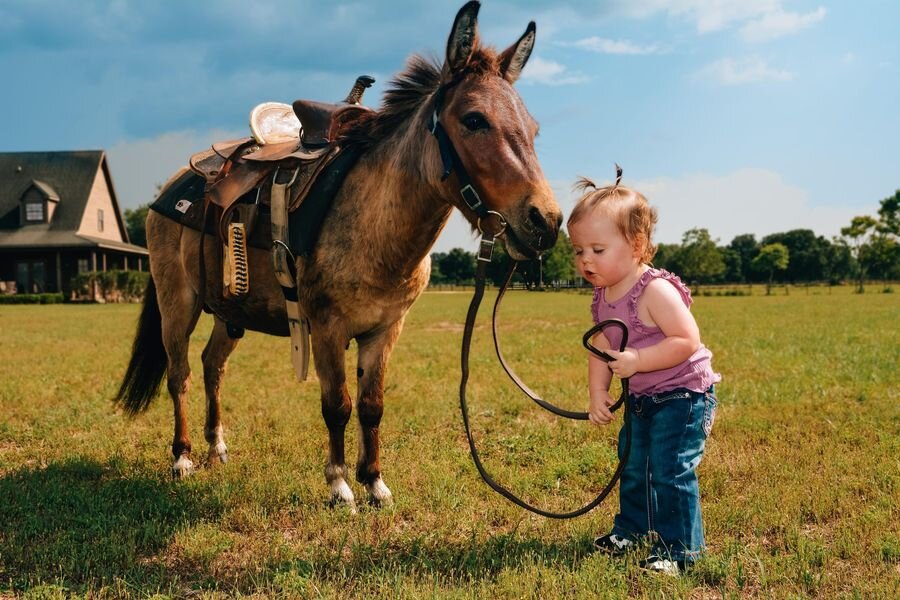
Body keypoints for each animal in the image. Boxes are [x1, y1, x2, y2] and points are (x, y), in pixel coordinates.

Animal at [115, 0, 562, 511]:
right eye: (473, 120)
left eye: (533, 129)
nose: (546, 220)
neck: (375, 227)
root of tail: (173, 187)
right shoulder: (327, 328)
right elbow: (338, 406)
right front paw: (340, 484)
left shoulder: (385, 330)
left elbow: (372, 406)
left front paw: (374, 482)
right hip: (178, 304)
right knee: (181, 374)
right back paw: (183, 457)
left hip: (230, 312)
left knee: (213, 366)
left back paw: (217, 448)